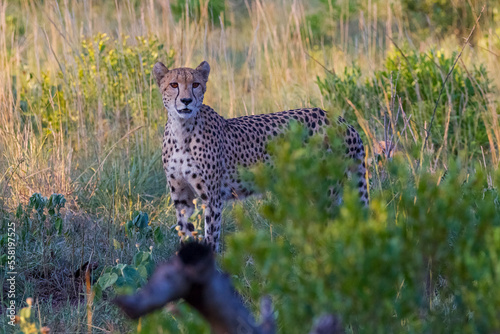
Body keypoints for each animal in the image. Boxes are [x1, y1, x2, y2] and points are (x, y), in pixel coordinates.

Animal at [154, 61, 370, 252]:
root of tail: (343, 121)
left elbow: (211, 237)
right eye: (174, 85)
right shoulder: (182, 198)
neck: (182, 131)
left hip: (324, 189)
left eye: (196, 84)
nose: (186, 101)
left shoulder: (212, 198)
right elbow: (184, 233)